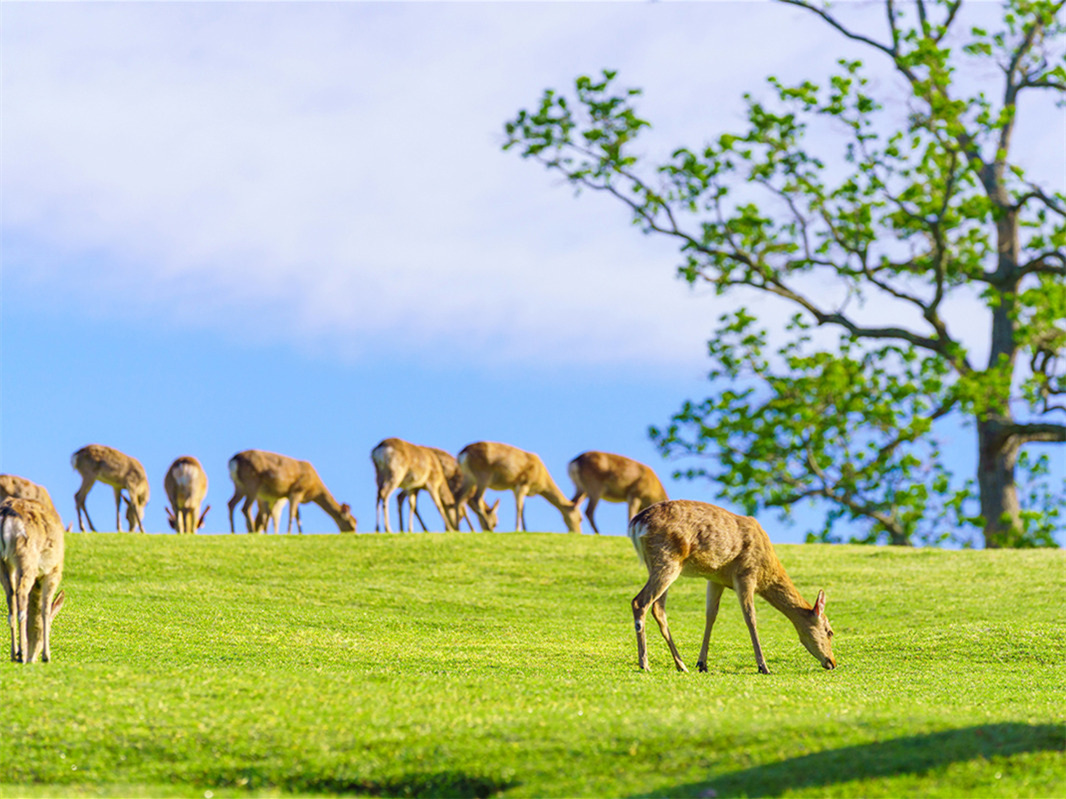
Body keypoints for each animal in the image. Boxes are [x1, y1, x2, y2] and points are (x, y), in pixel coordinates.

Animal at [0, 500, 65, 664]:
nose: (33, 657)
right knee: (21, 595)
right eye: (50, 627)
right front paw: (47, 656)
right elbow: (45, 609)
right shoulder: (53, 572)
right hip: (26, 557)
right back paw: (22, 654)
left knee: (11, 598)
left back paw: (14, 654)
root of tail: (5, 516)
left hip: (4, 563)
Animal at [225, 453, 356, 534]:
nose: (353, 533)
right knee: (246, 508)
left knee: (231, 503)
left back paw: (233, 531)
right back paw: (251, 531)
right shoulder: (296, 491)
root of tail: (233, 460)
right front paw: (289, 532)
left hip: (240, 486)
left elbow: (298, 515)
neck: (313, 490)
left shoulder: (292, 495)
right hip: (252, 483)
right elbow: (292, 514)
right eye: (351, 524)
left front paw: (300, 533)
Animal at [451, 441, 579, 534]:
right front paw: (519, 529)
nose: (577, 531)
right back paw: (487, 528)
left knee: (458, 497)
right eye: (580, 518)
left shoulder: (514, 487)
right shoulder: (523, 483)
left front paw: (525, 529)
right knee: (476, 499)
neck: (541, 480)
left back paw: (457, 528)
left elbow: (522, 507)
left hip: (469, 477)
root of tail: (462, 454)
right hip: (483, 476)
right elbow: (519, 507)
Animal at [626, 500, 835, 677]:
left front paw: (702, 664)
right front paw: (763, 667)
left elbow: (710, 616)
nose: (832, 662)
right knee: (639, 602)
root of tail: (636, 523)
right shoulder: (746, 574)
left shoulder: (715, 578)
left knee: (658, 608)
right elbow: (750, 618)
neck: (766, 573)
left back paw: (681, 665)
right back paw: (645, 664)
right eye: (830, 631)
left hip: (657, 564)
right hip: (667, 558)